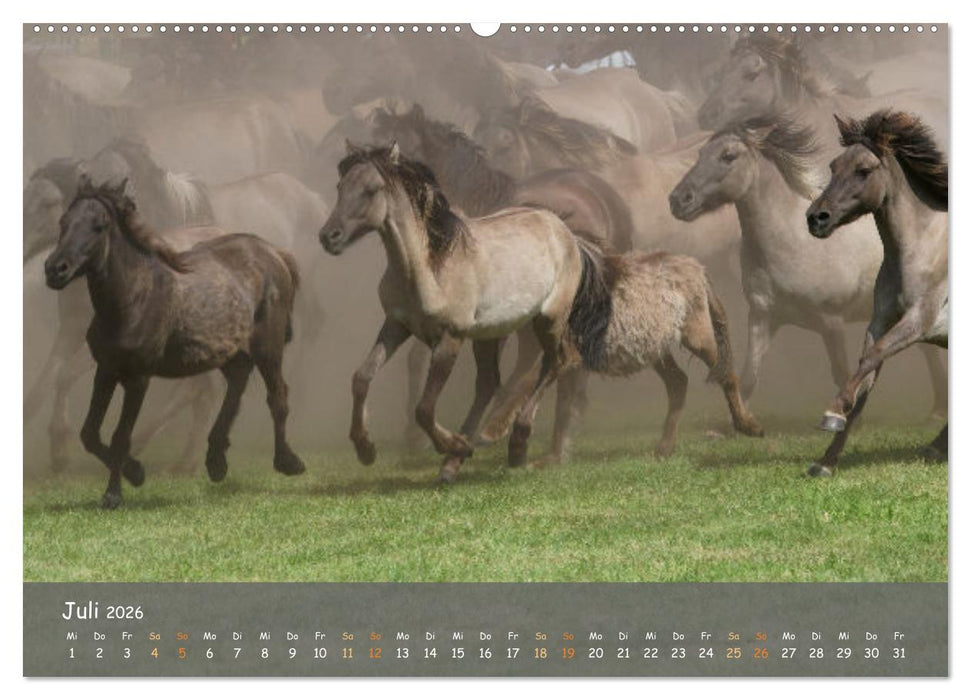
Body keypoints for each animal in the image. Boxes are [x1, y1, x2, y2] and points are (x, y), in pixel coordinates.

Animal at [43, 177, 305, 508]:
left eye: (99, 226)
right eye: (63, 222)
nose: (55, 269)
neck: (133, 298)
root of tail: (275, 252)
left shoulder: (138, 377)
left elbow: (120, 436)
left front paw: (114, 493)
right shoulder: (105, 369)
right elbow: (89, 433)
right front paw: (135, 472)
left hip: (267, 346)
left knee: (277, 395)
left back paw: (287, 461)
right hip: (228, 350)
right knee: (236, 383)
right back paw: (215, 461)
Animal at [318, 142, 609, 482]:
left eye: (371, 190)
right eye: (340, 187)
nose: (329, 237)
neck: (429, 268)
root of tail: (567, 233)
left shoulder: (450, 338)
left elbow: (424, 409)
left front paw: (452, 444)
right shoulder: (396, 326)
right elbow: (361, 377)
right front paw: (365, 449)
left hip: (548, 321)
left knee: (557, 361)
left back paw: (513, 445)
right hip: (489, 334)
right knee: (489, 383)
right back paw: (454, 462)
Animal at [668, 117, 947, 415]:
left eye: (728, 156)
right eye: (700, 154)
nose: (678, 200)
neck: (789, 243)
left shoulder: (831, 323)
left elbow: (843, 373)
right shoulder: (763, 317)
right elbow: (749, 378)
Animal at [805, 111, 947, 475]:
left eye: (864, 170)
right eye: (834, 166)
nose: (816, 218)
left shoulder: (918, 321)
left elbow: (872, 357)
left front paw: (831, 413)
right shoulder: (881, 322)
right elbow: (865, 377)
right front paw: (826, 461)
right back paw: (936, 447)